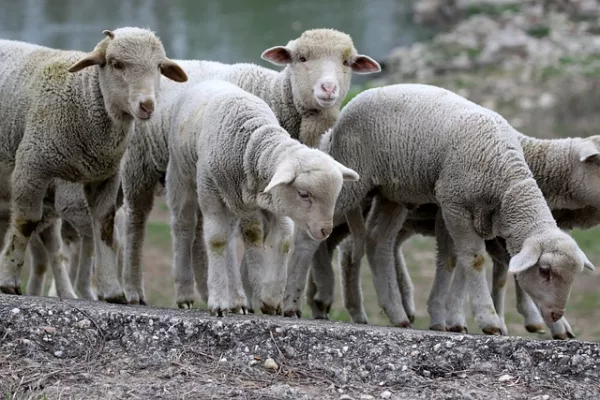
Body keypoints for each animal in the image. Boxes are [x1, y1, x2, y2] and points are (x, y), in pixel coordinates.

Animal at [0, 27, 188, 304]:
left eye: (159, 66)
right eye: (116, 63)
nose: (147, 105)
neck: (82, 94)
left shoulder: (104, 176)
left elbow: (105, 228)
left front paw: (113, 291)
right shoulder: (32, 165)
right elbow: (26, 221)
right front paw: (9, 281)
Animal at [164, 79, 358, 316]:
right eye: (304, 194)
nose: (325, 230)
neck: (252, 141)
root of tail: (211, 80)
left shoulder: (272, 198)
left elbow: (279, 239)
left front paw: (270, 297)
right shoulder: (210, 190)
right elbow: (218, 240)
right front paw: (219, 301)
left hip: (232, 198)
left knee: (231, 238)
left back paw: (238, 299)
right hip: (181, 175)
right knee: (183, 226)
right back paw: (185, 295)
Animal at [282, 83, 592, 332]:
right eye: (545, 271)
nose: (556, 314)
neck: (505, 179)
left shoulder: (450, 206)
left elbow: (452, 259)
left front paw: (444, 316)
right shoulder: (455, 203)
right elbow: (473, 259)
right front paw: (488, 320)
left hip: (392, 192)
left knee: (378, 242)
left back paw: (397, 314)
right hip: (353, 180)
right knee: (310, 234)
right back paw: (290, 303)